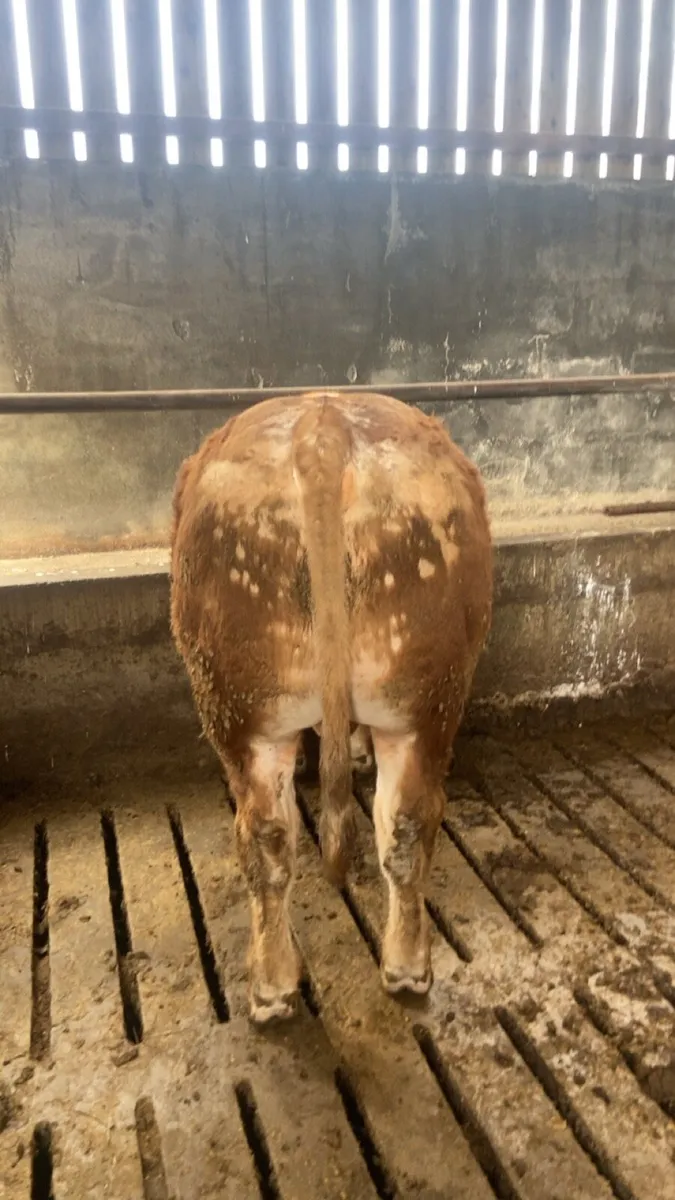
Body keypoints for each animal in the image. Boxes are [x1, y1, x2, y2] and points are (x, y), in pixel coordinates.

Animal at [171, 391, 492, 1023]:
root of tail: (323, 426)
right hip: (416, 704)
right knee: (397, 827)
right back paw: (403, 970)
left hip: (241, 711)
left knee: (270, 837)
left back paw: (272, 987)